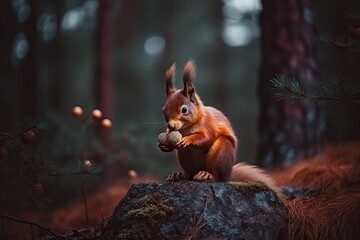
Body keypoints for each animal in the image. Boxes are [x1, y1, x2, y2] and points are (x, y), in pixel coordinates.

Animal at [160, 60, 282, 197]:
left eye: (184, 110)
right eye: (164, 110)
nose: (170, 126)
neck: (186, 128)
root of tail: (229, 175)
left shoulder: (209, 125)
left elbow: (206, 138)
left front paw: (188, 140)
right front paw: (165, 146)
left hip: (223, 150)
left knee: (218, 178)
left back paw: (207, 175)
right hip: (184, 155)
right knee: (190, 174)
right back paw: (180, 175)